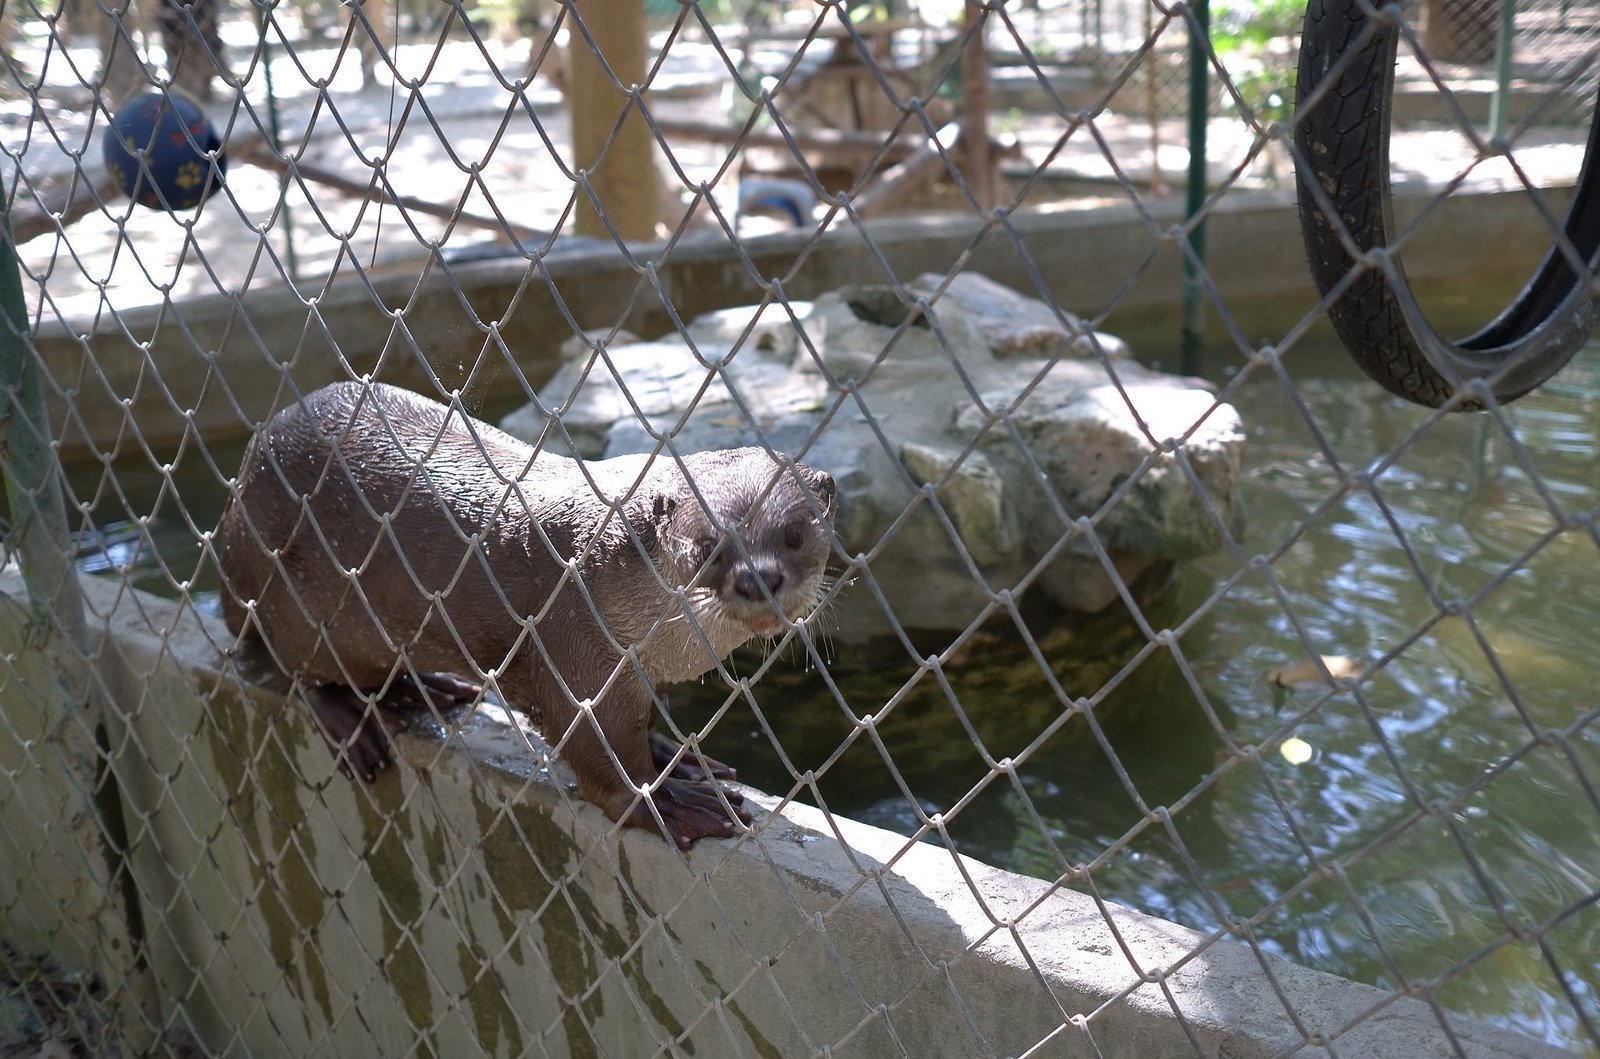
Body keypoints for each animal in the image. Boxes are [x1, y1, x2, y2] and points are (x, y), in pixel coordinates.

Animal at [215, 381, 835, 847]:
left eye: (794, 533)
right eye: (708, 546)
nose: (758, 578)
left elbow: (637, 723)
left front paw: (670, 756)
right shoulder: (572, 639)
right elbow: (598, 750)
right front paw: (666, 799)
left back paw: (423, 688)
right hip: (288, 602)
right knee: (300, 670)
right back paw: (356, 718)